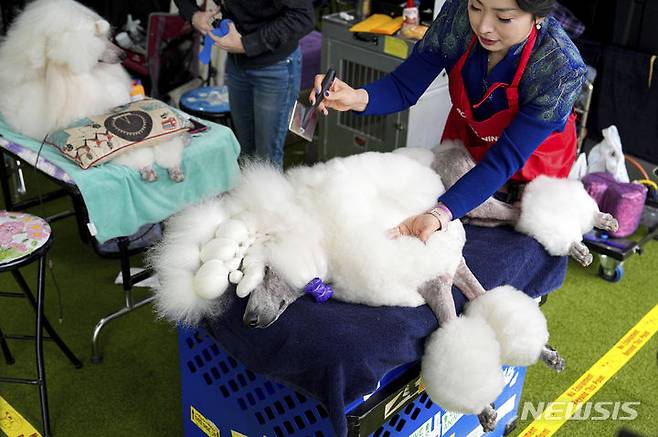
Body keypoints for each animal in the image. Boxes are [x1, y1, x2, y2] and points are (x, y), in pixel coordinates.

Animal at [0, 0, 188, 181]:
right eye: (96, 37)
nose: (123, 55)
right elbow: (131, 150)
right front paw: (147, 168)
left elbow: (165, 140)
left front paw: (173, 165)